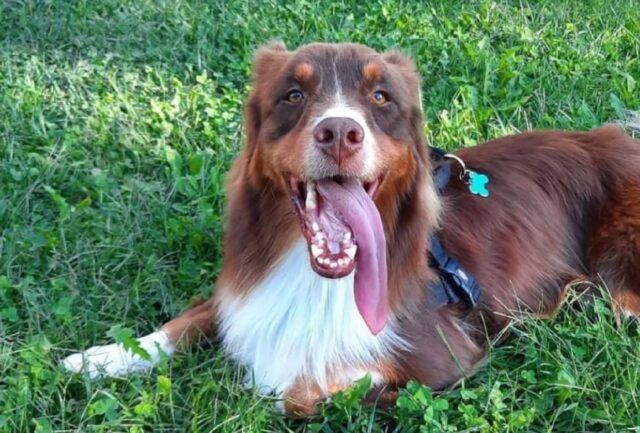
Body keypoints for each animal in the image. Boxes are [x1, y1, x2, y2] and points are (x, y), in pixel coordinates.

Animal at [62, 41, 640, 416]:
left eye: (381, 97)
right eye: (293, 95)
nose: (339, 132)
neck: (319, 276)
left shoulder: (445, 356)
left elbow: (294, 388)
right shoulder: (247, 292)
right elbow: (188, 320)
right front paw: (102, 358)